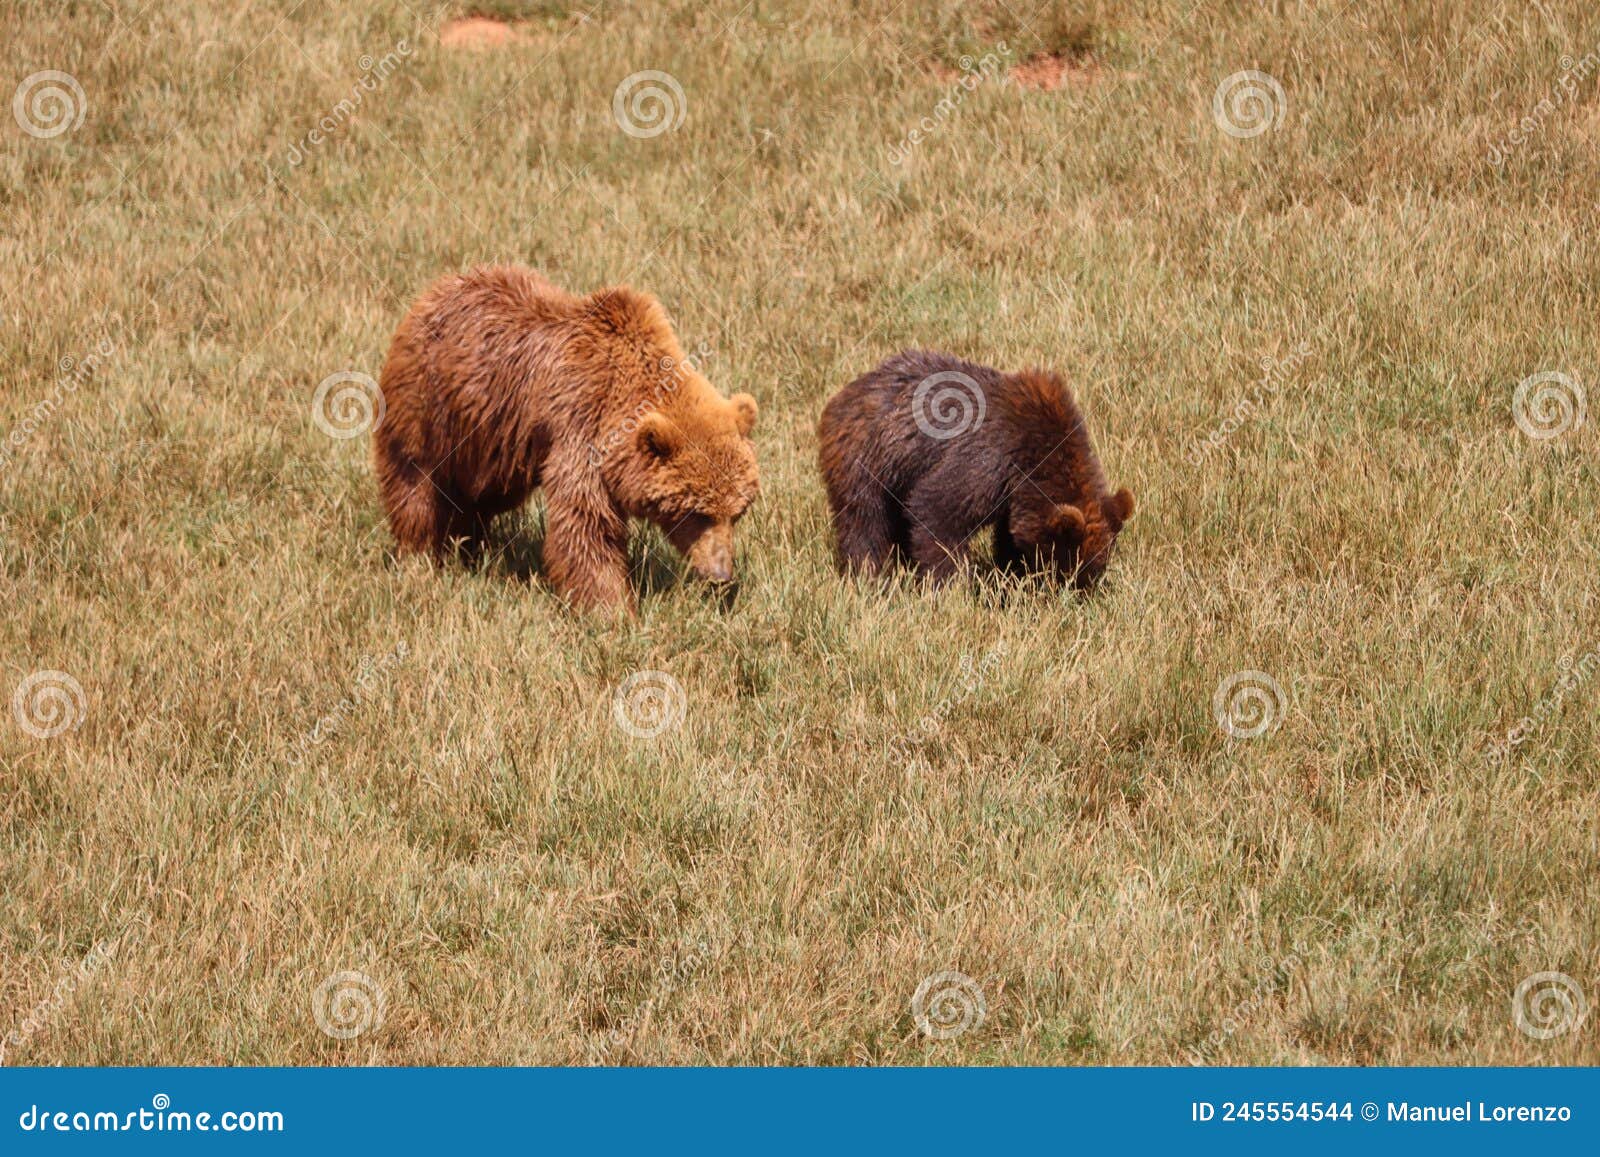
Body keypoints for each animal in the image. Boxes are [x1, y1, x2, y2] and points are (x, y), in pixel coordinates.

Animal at [371, 268, 758, 614]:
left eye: (738, 512)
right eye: (698, 512)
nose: (721, 574)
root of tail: (433, 291)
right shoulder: (582, 425)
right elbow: (586, 524)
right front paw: (612, 609)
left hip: (491, 440)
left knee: (482, 494)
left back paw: (469, 546)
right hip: (428, 405)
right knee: (415, 481)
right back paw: (420, 556)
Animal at [819, 348, 1132, 588]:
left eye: (1094, 571)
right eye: (1067, 569)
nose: (1077, 594)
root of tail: (844, 394)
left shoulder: (1014, 495)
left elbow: (1008, 536)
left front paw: (1012, 575)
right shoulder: (988, 460)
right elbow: (937, 510)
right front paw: (951, 583)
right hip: (868, 460)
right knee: (865, 521)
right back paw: (869, 576)